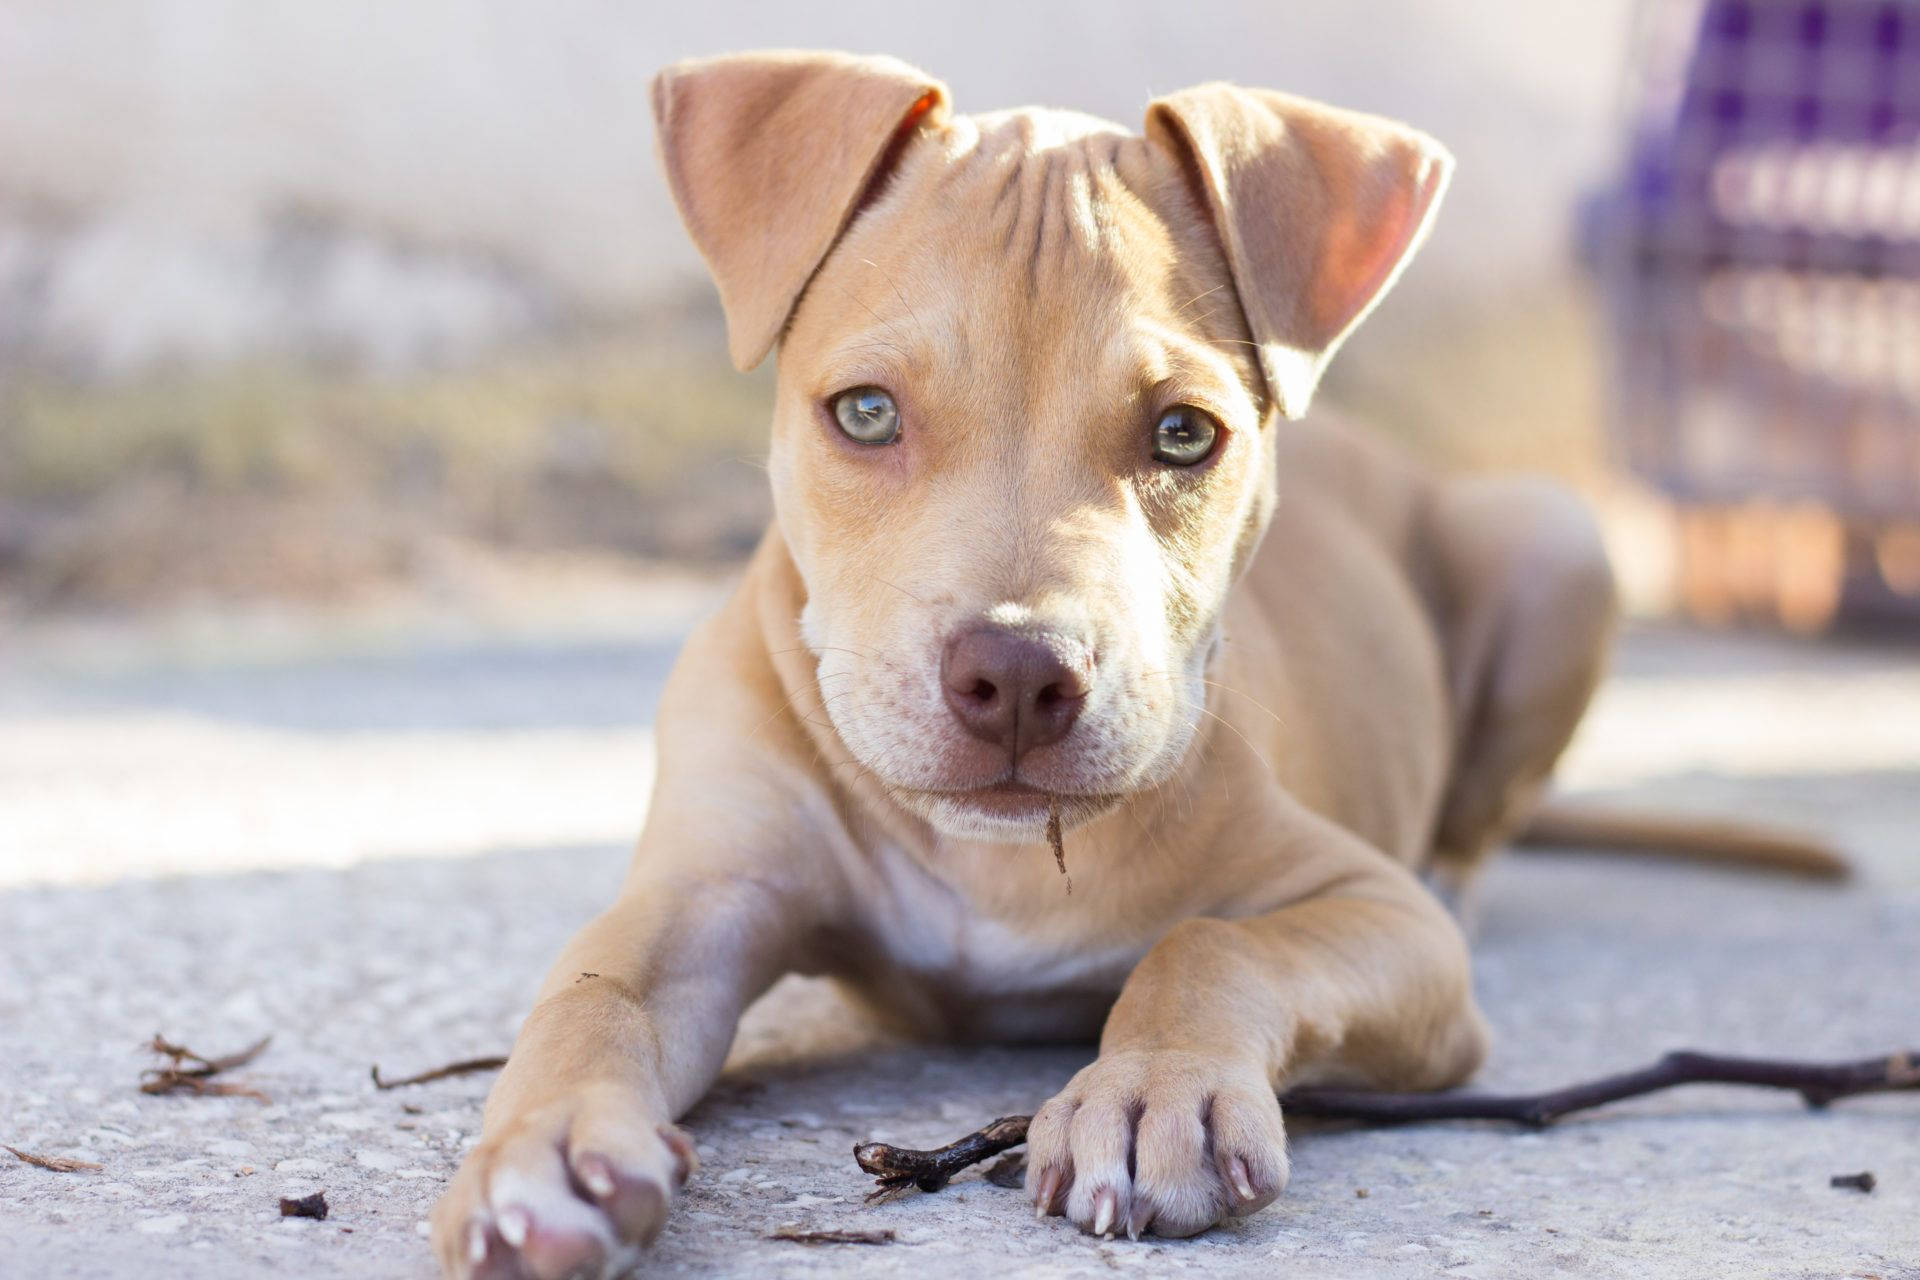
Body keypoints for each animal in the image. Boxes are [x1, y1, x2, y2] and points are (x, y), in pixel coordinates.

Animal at [432, 50, 1620, 1280]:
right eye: (866, 412)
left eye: (1186, 434)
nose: (1014, 676)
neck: (989, 863)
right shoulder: (702, 895)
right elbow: (590, 993)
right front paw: (545, 1146)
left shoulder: (1384, 917)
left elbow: (1212, 942)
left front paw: (1156, 1092)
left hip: (1555, 542)